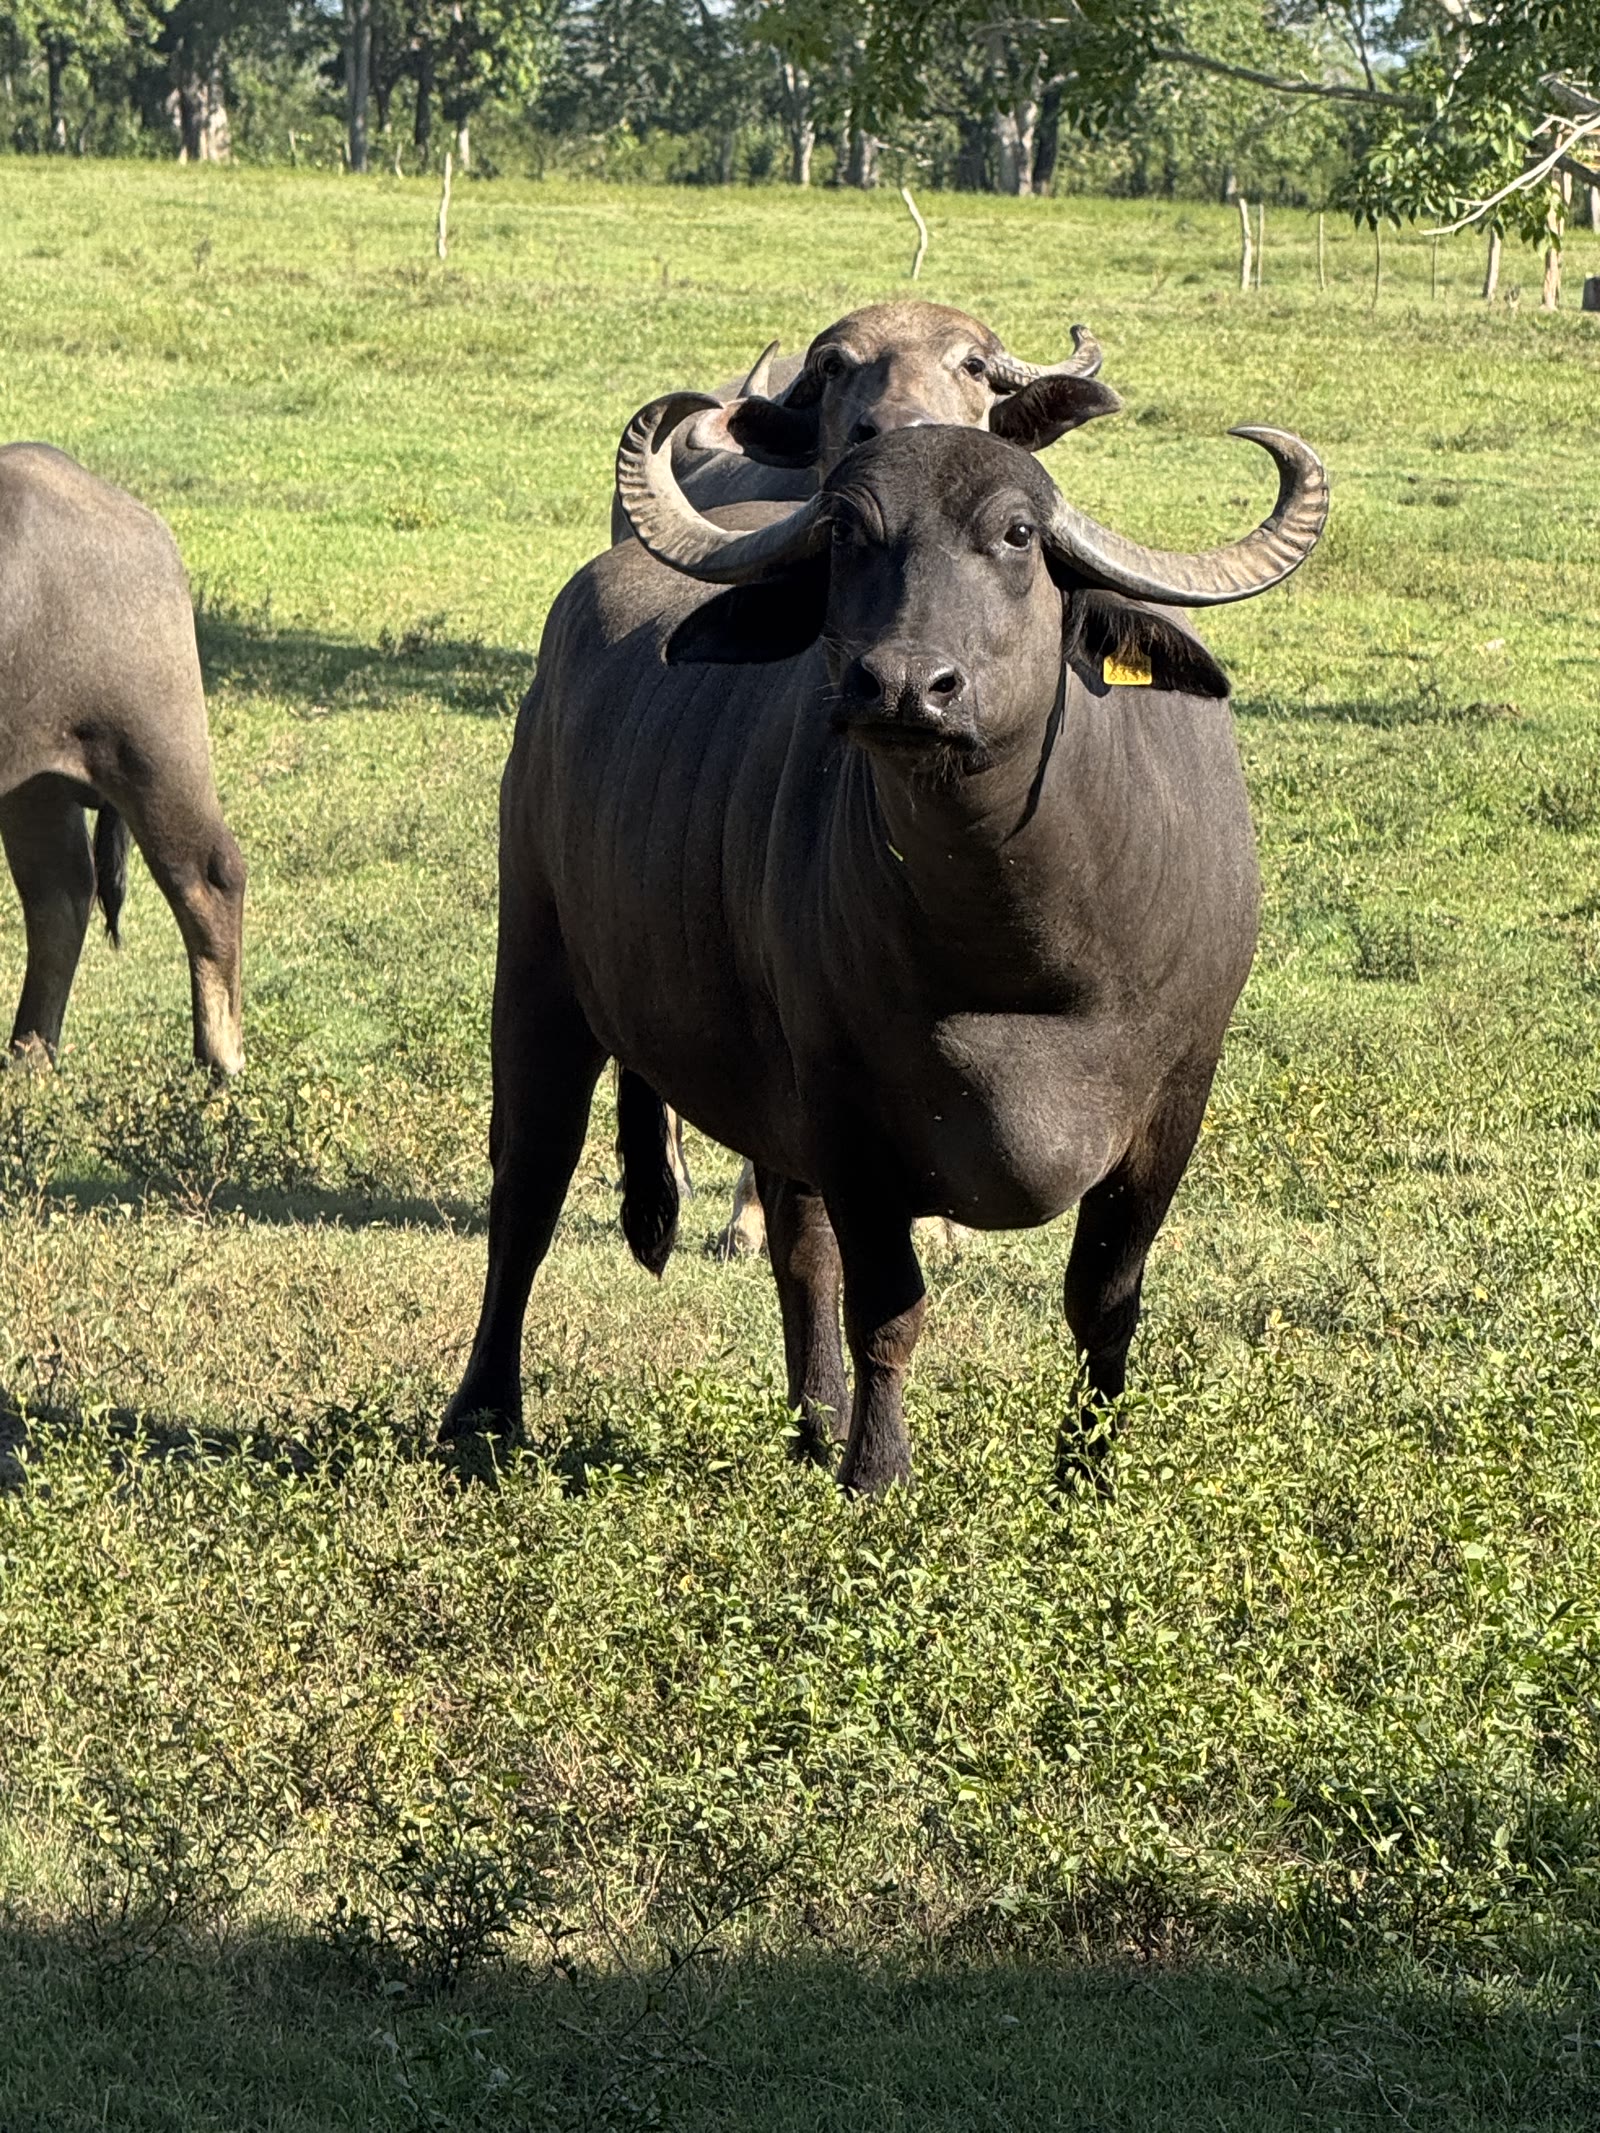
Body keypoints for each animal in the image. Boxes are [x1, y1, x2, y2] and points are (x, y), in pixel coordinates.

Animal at [0, 444, 245, 1074]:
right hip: (33, 783)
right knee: (60, 895)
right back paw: (28, 1057)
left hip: (155, 748)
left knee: (210, 877)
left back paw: (219, 1058)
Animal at [446, 406, 1326, 1490]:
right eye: (849, 535)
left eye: (1017, 535)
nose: (904, 685)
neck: (1021, 960)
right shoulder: (848, 1099)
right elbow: (888, 1303)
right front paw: (878, 1470)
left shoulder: (1175, 1102)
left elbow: (1102, 1304)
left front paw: (1083, 1474)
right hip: (536, 970)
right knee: (528, 1187)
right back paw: (484, 1414)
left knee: (790, 1237)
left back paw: (812, 1421)